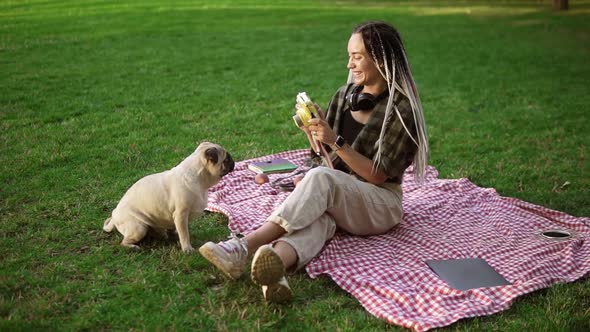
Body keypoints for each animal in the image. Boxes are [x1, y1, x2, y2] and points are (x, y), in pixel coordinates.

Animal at [103, 141, 235, 253]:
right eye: (226, 159)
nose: (233, 161)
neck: (200, 179)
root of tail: (114, 216)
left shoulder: (176, 217)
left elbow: (176, 228)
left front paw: (174, 233)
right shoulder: (180, 215)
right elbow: (184, 233)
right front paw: (187, 248)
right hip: (138, 228)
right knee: (123, 242)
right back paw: (133, 247)